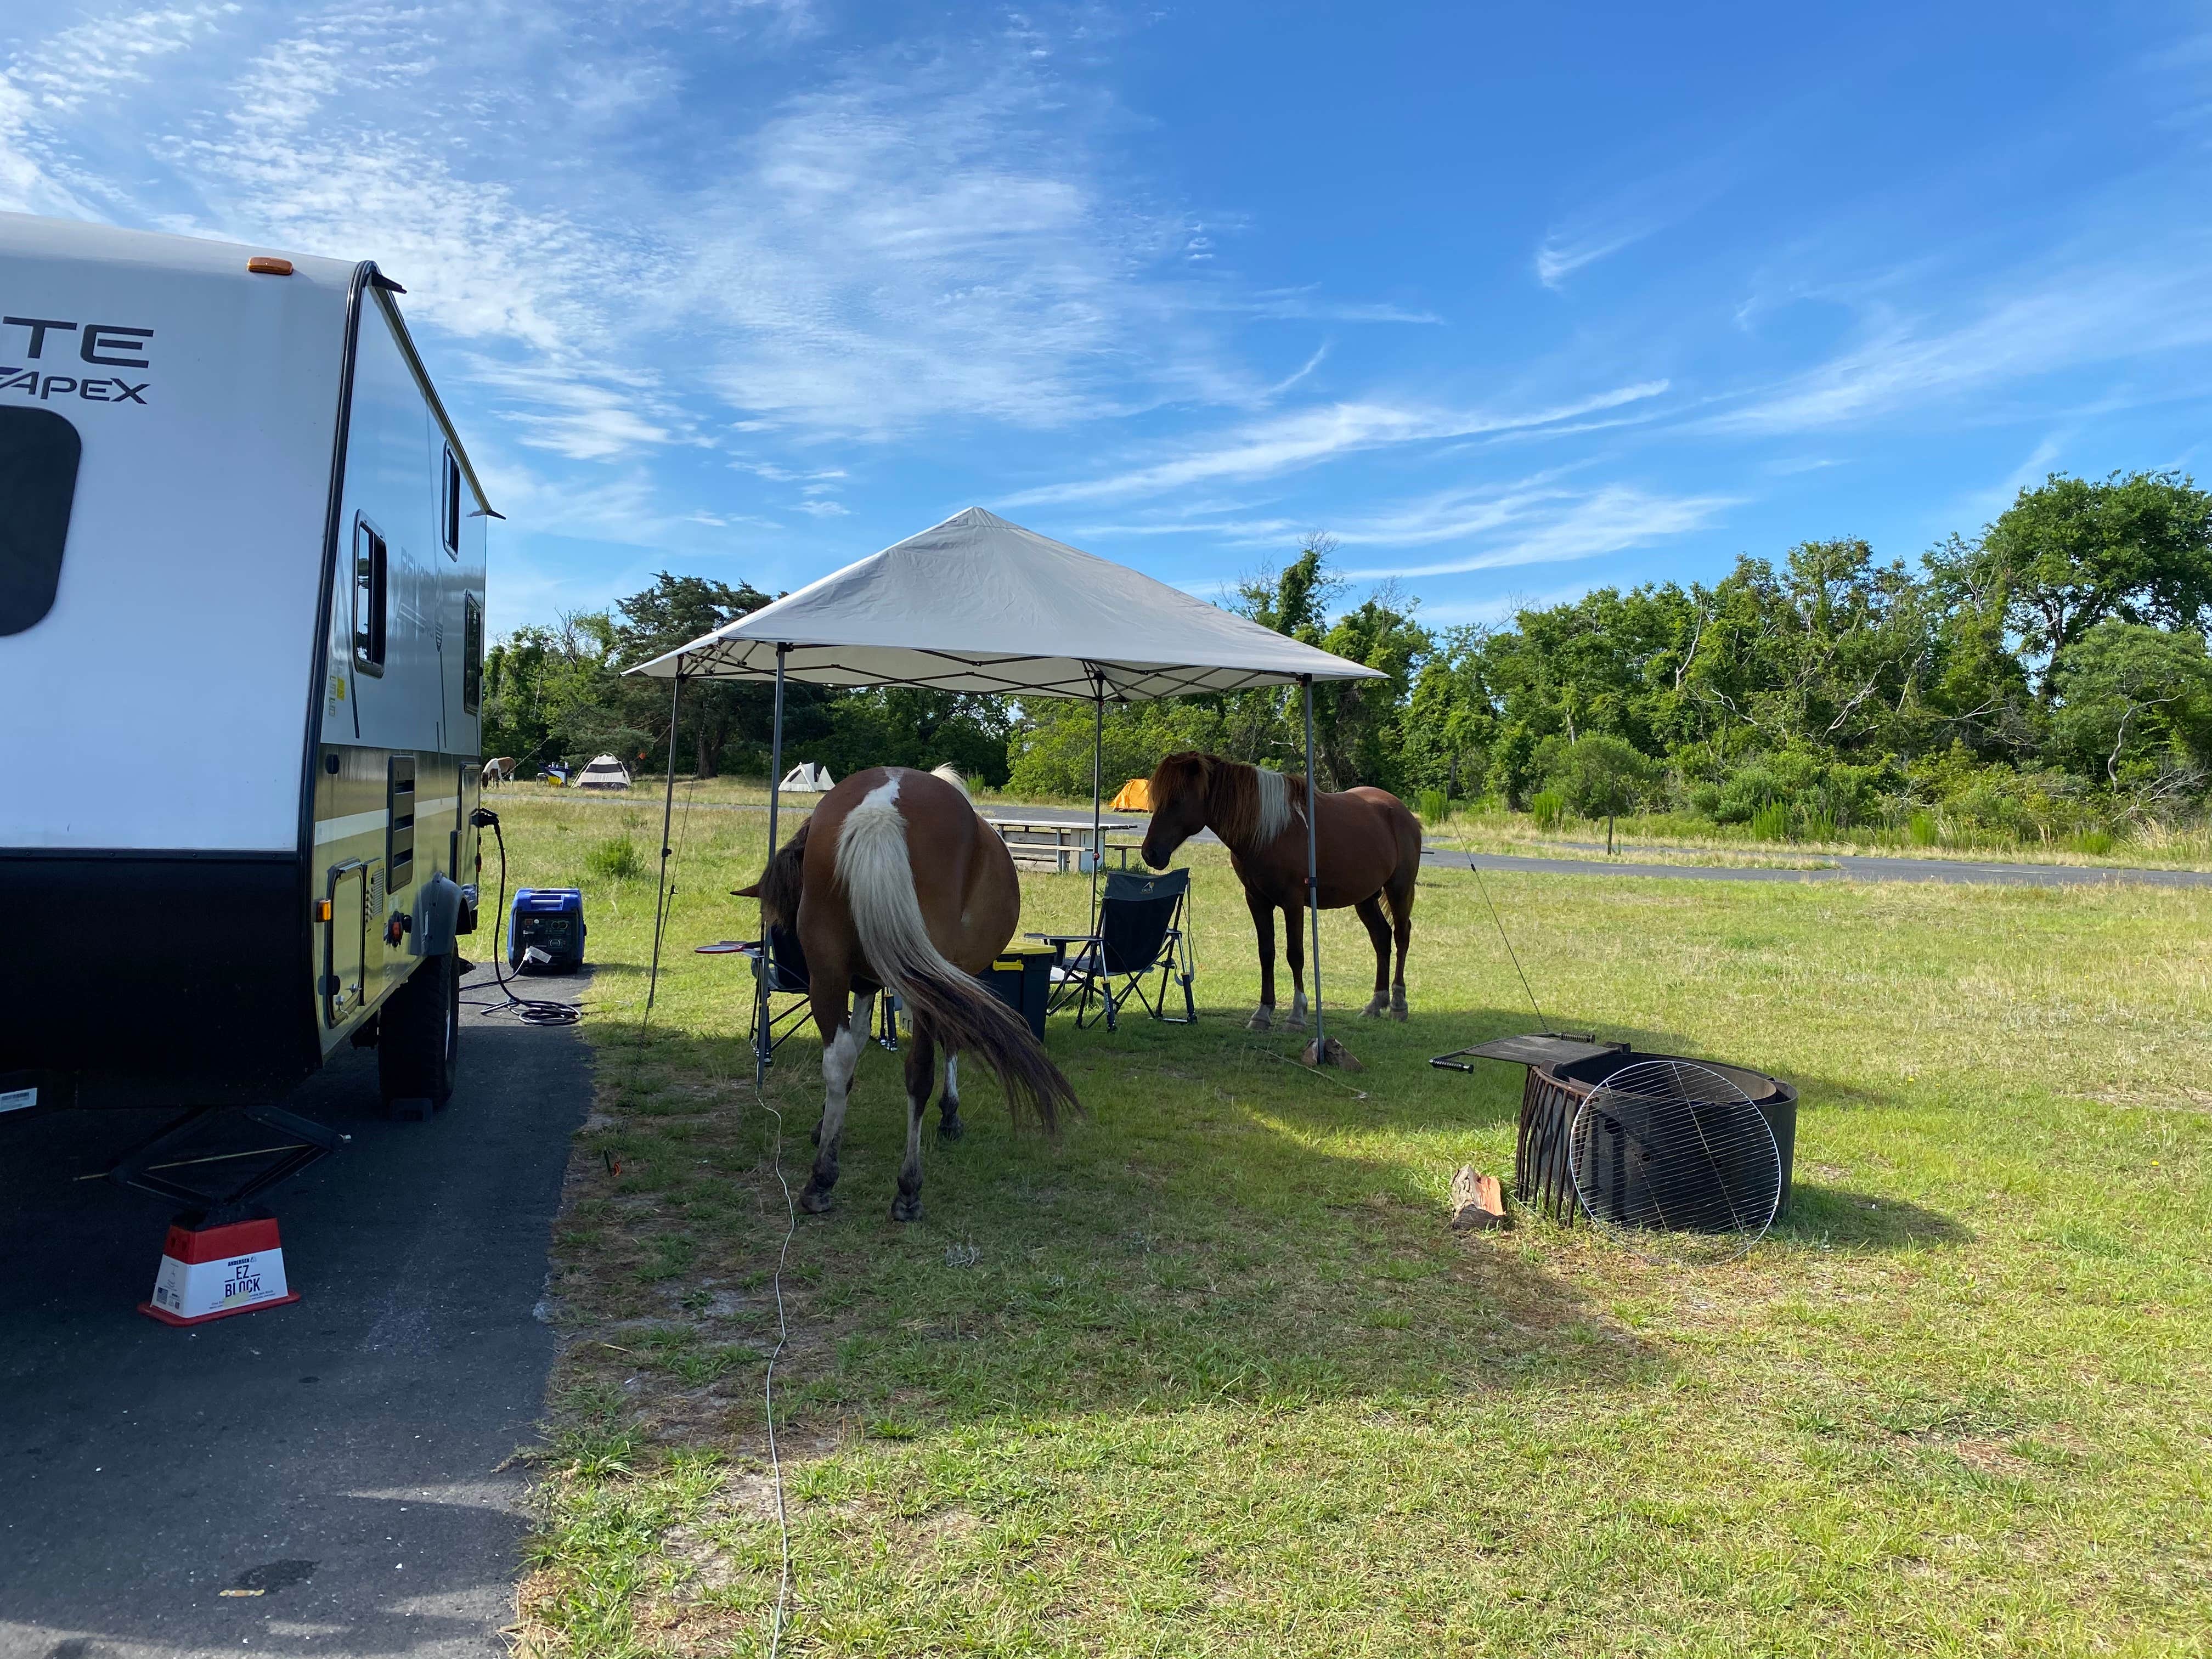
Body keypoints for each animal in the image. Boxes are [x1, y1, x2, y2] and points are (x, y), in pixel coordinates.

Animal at [738, 765, 1078, 1221]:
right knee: (919, 1072)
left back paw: (821, 1180)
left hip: (828, 971)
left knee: (838, 1058)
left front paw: (827, 1125)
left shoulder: (865, 981)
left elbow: (855, 1047)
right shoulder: (953, 975)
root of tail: (881, 808)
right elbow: (950, 1044)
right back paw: (909, 1189)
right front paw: (950, 1116)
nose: (786, 959)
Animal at [1141, 752, 1423, 1030]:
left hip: (1399, 889)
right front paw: (1263, 1013)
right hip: (1365, 898)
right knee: (1381, 938)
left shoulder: (1293, 902)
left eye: (1177, 800)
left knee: (1401, 936)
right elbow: (1266, 953)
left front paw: (1297, 1015)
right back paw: (1376, 1004)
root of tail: (1401, 812)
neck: (1268, 831)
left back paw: (1399, 1005)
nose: (1150, 853)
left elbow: (1295, 954)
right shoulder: (1257, 900)